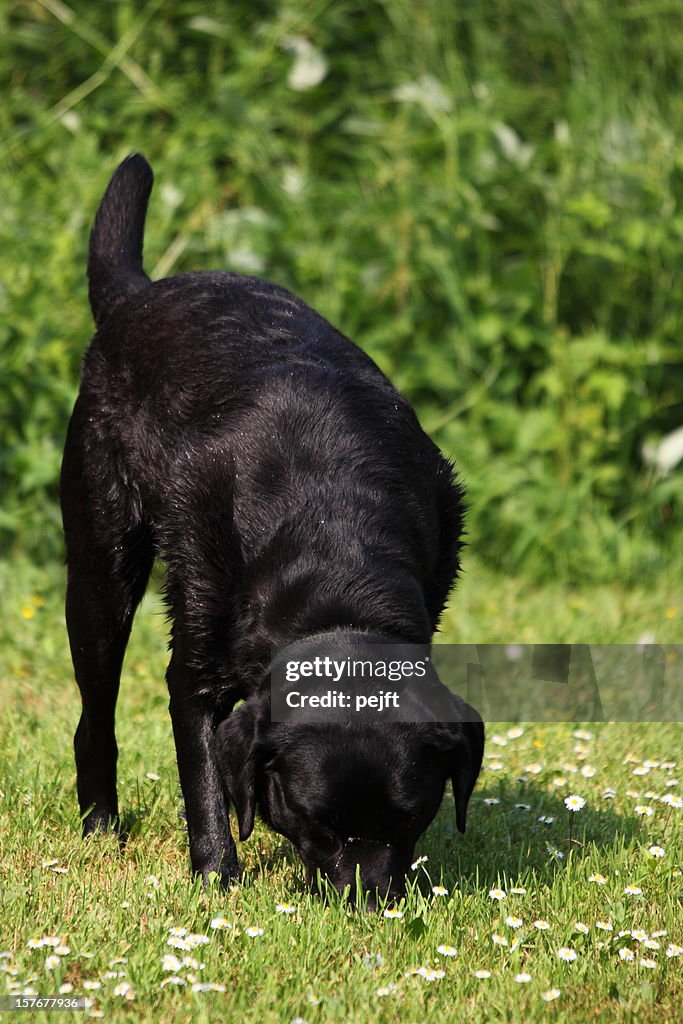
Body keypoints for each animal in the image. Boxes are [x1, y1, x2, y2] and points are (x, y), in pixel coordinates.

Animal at [61, 153, 483, 905]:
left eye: (411, 815)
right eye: (309, 817)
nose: (365, 903)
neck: (334, 553)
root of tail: (136, 296)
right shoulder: (196, 660)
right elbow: (203, 773)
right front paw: (217, 879)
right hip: (100, 572)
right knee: (96, 713)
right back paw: (102, 825)